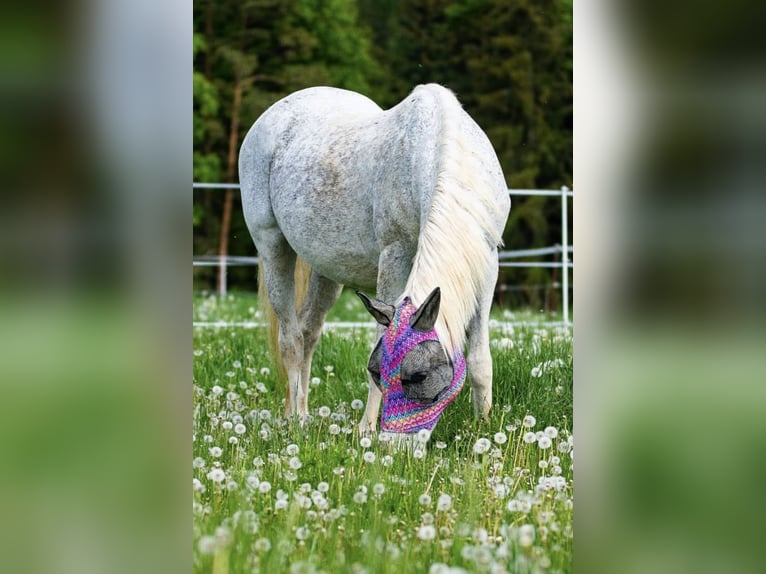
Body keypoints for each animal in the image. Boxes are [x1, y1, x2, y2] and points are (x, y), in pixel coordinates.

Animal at [240, 85, 512, 434]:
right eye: (377, 371)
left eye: (420, 376)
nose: (398, 436)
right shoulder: (395, 256)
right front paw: (366, 429)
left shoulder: (486, 265)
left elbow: (479, 357)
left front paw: (484, 424)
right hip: (273, 246)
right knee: (291, 339)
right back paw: (296, 421)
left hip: (327, 271)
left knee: (309, 330)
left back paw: (302, 412)